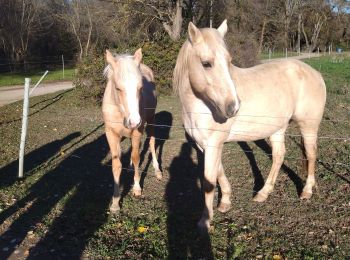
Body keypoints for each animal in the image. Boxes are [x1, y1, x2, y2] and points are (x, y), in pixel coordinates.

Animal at [101, 48, 161, 213]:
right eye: (117, 88)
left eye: (140, 88)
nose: (134, 121)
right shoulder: (111, 133)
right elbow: (116, 164)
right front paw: (115, 203)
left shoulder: (137, 132)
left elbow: (136, 157)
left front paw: (137, 188)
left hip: (151, 120)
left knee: (152, 143)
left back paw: (157, 171)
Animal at [174, 20, 326, 231]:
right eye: (206, 63)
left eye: (229, 61)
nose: (234, 107)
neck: (202, 105)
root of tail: (315, 73)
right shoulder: (205, 146)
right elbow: (219, 172)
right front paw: (225, 202)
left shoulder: (213, 144)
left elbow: (209, 182)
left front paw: (205, 221)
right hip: (278, 128)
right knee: (279, 156)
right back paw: (263, 193)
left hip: (308, 127)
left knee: (310, 156)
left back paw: (306, 191)